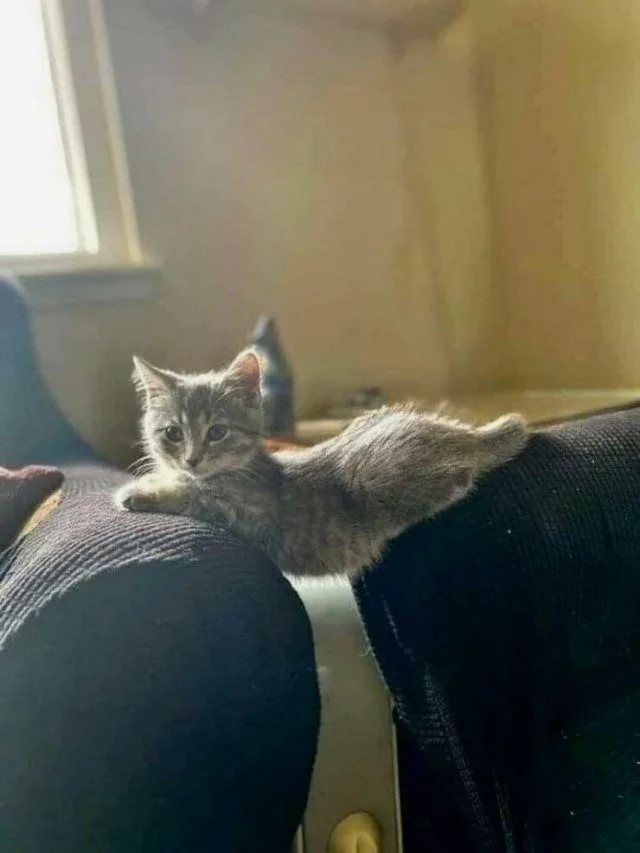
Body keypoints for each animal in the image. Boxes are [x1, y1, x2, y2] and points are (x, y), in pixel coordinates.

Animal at [116, 350, 529, 578]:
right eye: (172, 433)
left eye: (217, 432)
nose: (192, 459)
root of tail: (460, 434)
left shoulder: (250, 514)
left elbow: (195, 498)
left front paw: (139, 493)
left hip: (380, 477)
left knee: (457, 474)